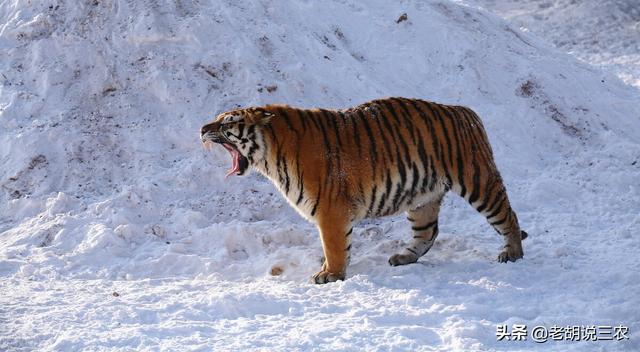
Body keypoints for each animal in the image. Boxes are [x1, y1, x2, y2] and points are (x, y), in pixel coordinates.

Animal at [201, 97, 528, 284]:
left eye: (228, 122)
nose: (202, 129)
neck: (271, 155)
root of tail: (465, 111)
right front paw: (331, 270)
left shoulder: (331, 210)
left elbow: (333, 245)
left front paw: (330, 274)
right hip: (422, 199)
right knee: (428, 232)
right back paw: (404, 257)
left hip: (478, 181)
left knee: (507, 215)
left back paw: (512, 253)